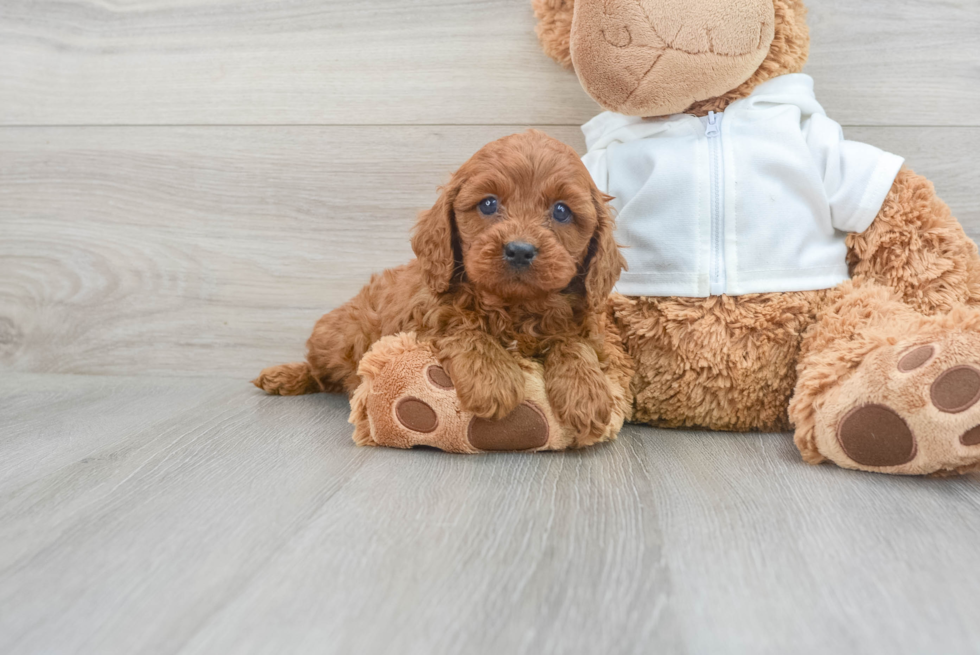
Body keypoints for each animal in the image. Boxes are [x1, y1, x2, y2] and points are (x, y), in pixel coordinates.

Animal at [249, 130, 624, 444]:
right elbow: (463, 327)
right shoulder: (426, 314)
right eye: (489, 203)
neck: (514, 305)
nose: (519, 249)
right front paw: (491, 378)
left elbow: (574, 343)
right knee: (320, 371)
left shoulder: (582, 322)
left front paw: (587, 392)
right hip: (341, 336)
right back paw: (284, 376)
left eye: (561, 211)